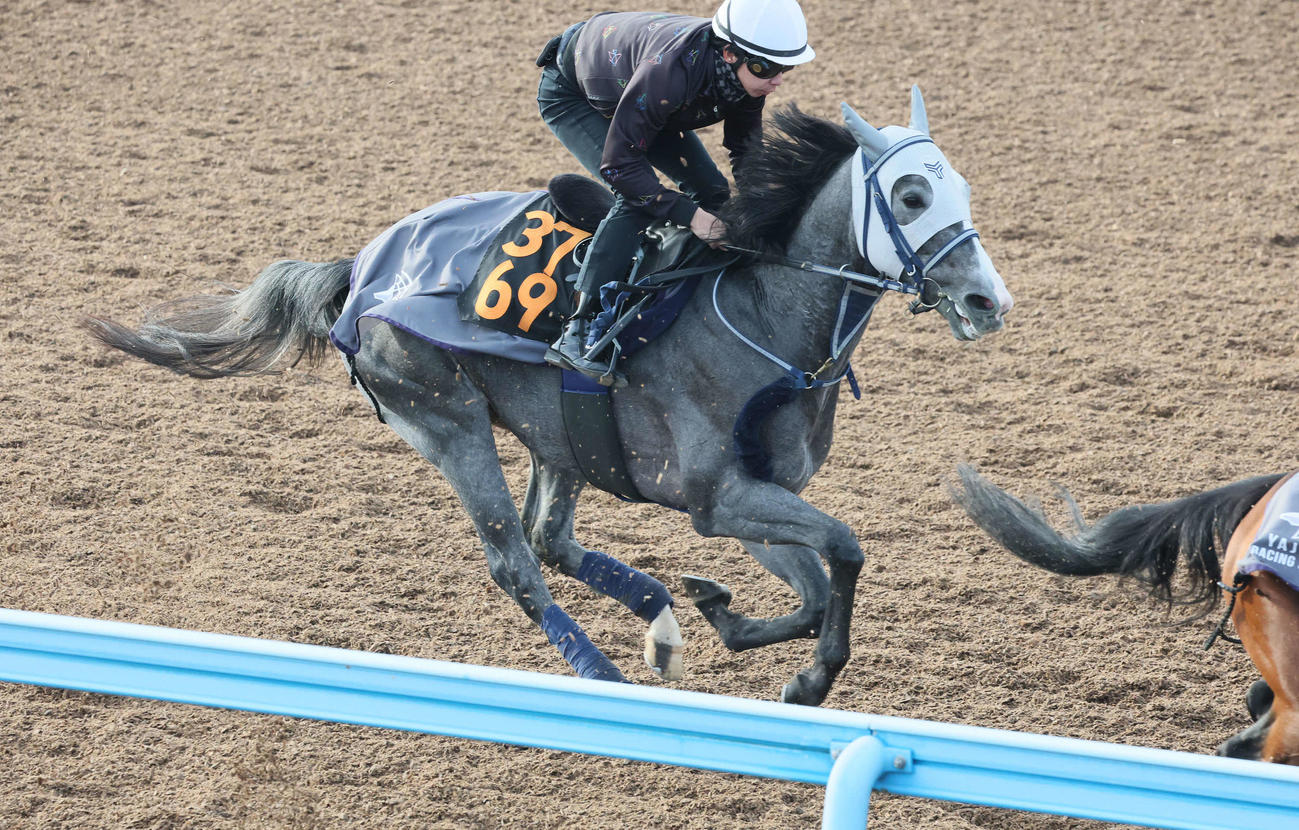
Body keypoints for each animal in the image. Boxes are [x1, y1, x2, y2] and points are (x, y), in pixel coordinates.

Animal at [81, 87, 1012, 707]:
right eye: (910, 195)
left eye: (962, 187)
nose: (985, 300)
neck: (760, 312)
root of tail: (362, 267)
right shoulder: (719, 497)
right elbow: (845, 552)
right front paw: (809, 679)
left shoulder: (749, 498)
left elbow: (816, 583)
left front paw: (722, 613)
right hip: (449, 422)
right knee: (516, 564)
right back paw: (607, 679)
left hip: (559, 436)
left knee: (548, 537)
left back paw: (661, 620)